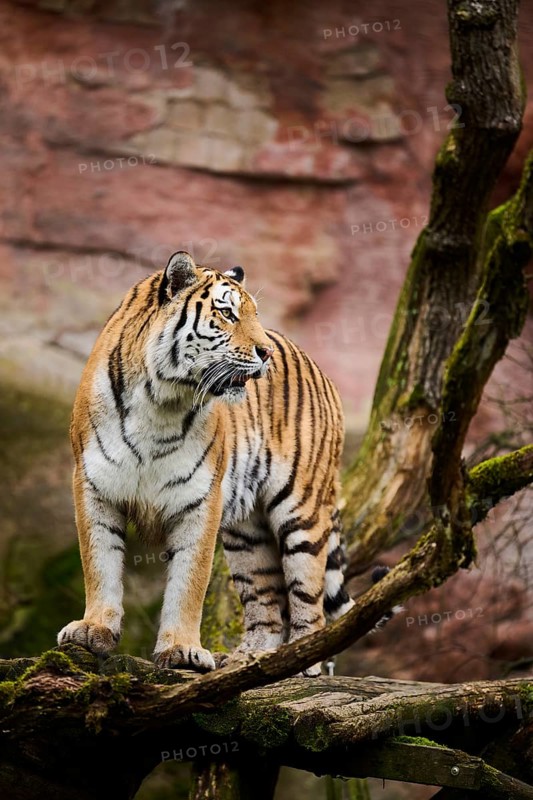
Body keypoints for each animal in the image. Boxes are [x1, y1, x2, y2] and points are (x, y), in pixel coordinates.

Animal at [57, 251, 354, 675]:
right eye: (227, 313)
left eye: (255, 314)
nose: (266, 353)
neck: (159, 400)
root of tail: (321, 371)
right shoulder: (94, 487)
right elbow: (99, 564)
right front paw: (93, 629)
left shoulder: (200, 500)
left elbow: (189, 581)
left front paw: (181, 649)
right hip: (247, 535)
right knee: (267, 604)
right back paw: (249, 660)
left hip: (302, 512)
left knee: (307, 602)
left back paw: (302, 663)